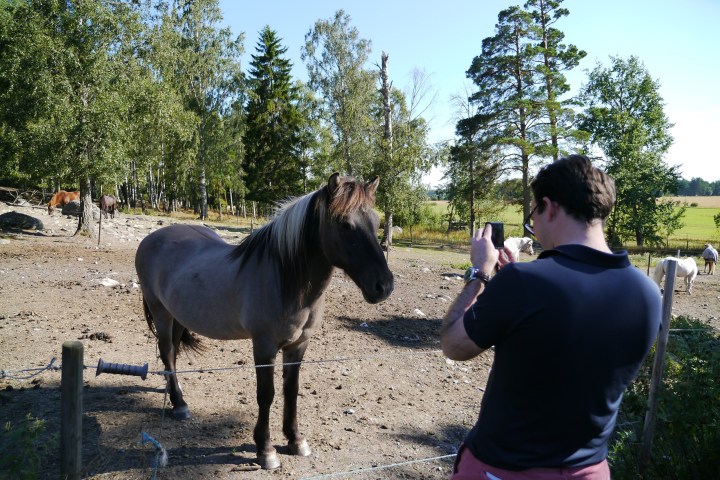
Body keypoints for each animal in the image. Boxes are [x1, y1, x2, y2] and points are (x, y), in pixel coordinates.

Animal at [135, 173, 394, 470]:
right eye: (344, 225)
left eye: (376, 222)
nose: (384, 286)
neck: (285, 278)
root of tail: (151, 239)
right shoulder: (264, 346)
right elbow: (266, 394)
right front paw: (265, 449)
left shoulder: (298, 346)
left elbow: (291, 390)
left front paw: (295, 440)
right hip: (161, 312)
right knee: (167, 351)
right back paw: (179, 405)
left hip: (178, 314)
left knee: (173, 354)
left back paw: (175, 394)